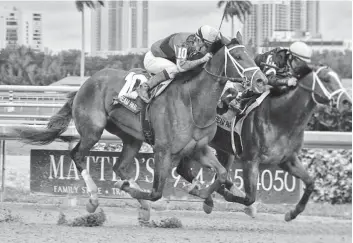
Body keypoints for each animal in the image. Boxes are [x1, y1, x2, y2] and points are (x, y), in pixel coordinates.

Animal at [10, 31, 264, 221]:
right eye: (239, 56)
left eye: (251, 54)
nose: (261, 80)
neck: (192, 101)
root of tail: (86, 83)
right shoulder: (163, 150)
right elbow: (157, 191)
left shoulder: (198, 148)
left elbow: (222, 175)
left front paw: (207, 195)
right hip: (93, 130)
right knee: (77, 155)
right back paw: (94, 200)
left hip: (131, 138)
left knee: (120, 167)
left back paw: (141, 205)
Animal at [176, 64, 350, 220]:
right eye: (326, 79)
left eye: (338, 78)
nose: (346, 102)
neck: (280, 119)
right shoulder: (250, 160)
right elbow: (249, 198)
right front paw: (232, 197)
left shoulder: (287, 159)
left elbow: (310, 183)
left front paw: (292, 213)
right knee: (184, 169)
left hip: (224, 150)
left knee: (189, 170)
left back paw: (209, 198)